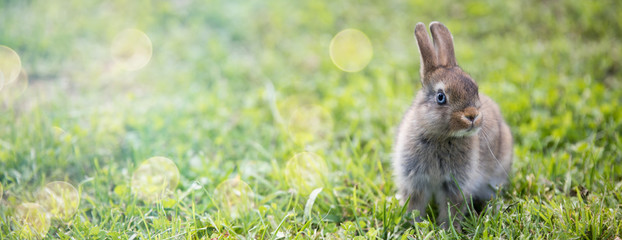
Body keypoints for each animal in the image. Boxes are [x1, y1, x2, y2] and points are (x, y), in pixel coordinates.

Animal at [392, 22, 516, 231]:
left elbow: (452, 208)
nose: (472, 116)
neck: (441, 137)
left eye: (475, 89)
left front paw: (447, 229)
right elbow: (415, 205)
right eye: (441, 97)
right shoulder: (414, 181)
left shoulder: (456, 184)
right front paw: (414, 226)